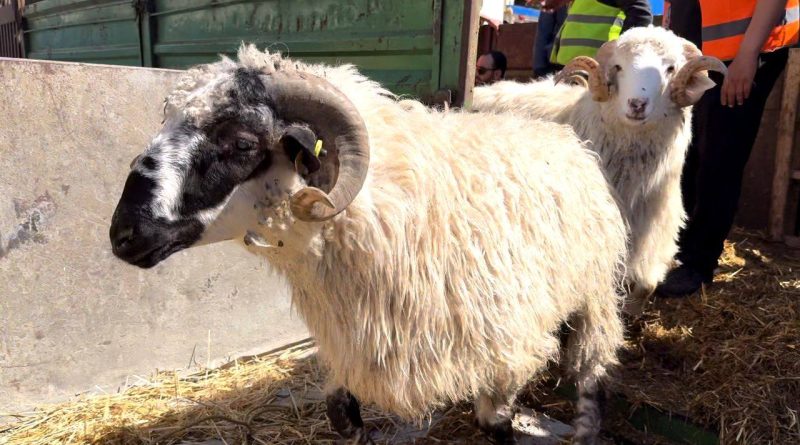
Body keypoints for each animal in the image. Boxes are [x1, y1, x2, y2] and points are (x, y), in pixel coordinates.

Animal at [108, 44, 628, 445]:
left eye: (241, 144)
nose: (122, 236)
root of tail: (559, 132)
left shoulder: (507, 345)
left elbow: (495, 424)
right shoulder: (348, 344)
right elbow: (344, 418)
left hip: (593, 288)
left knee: (591, 360)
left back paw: (587, 422)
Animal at [471, 26, 727, 308]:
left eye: (671, 68)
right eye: (618, 66)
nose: (637, 104)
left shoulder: (652, 230)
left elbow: (645, 285)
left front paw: (632, 306)